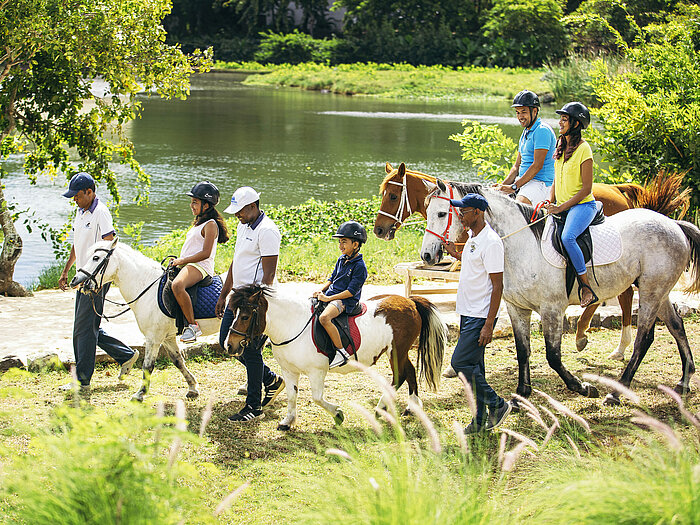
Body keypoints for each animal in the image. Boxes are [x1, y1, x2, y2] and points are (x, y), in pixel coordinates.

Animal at [71, 237, 219, 402]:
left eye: (96, 258)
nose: (75, 281)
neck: (148, 288)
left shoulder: (153, 338)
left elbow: (148, 365)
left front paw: (140, 393)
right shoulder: (167, 337)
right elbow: (178, 361)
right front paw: (193, 387)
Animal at [226, 284, 442, 428]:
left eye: (245, 316)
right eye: (234, 313)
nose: (229, 344)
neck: (292, 325)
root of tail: (410, 302)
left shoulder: (317, 372)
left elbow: (317, 398)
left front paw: (338, 414)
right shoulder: (289, 371)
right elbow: (291, 396)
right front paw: (288, 422)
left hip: (396, 350)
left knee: (400, 376)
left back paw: (381, 408)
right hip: (401, 351)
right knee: (410, 372)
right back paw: (412, 408)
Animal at [374, 162, 692, 360]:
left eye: (392, 195)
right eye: (428, 211)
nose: (378, 230)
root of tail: (618, 190)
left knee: (619, 297)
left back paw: (604, 341)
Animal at [418, 180, 696, 406]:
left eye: (442, 213)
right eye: (428, 213)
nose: (427, 255)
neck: (520, 245)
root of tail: (673, 224)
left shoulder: (551, 309)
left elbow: (552, 356)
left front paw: (582, 387)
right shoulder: (517, 308)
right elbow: (523, 351)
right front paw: (522, 394)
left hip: (651, 291)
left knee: (643, 339)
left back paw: (616, 392)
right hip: (659, 291)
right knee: (676, 326)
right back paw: (684, 380)